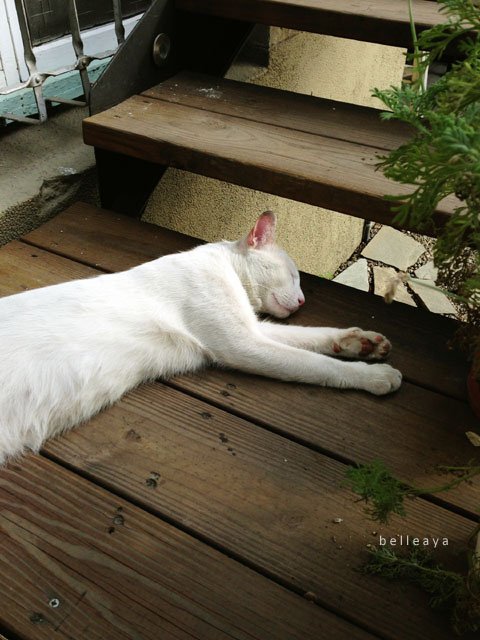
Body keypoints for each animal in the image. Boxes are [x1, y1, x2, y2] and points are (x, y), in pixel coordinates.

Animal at [0, 211, 402, 464]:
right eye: (292, 276)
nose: (302, 300)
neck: (225, 267)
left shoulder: (254, 328)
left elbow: (314, 337)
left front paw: (364, 342)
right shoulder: (244, 344)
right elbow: (319, 365)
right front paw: (376, 376)